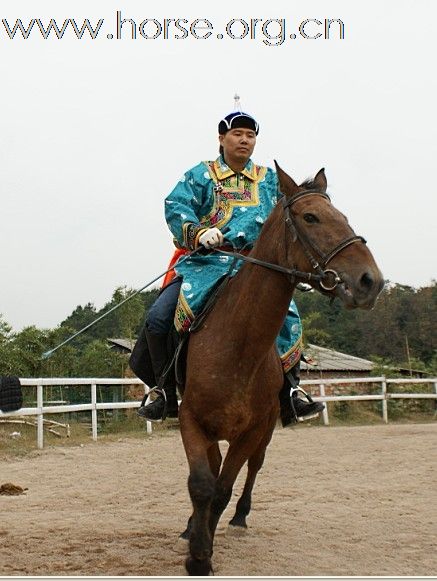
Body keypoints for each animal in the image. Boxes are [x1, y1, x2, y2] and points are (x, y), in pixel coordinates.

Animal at [175, 163, 380, 576]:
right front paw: (197, 549)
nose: (371, 281)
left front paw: (203, 553)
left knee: (253, 467)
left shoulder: (253, 430)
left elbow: (222, 489)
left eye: (343, 216)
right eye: (310, 217)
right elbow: (201, 484)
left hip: (265, 430)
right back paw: (193, 525)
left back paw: (238, 518)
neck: (236, 347)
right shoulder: (191, 420)